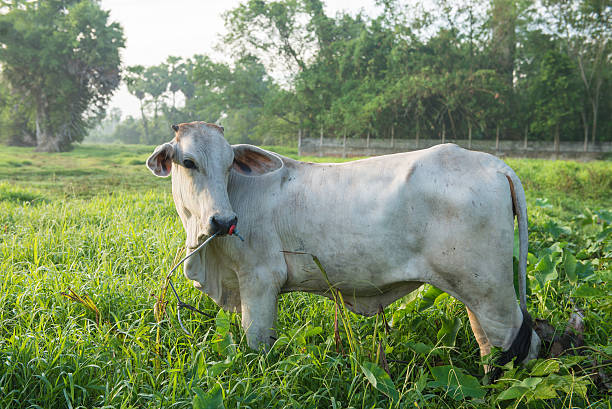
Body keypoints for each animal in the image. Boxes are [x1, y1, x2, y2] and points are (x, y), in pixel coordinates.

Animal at [148, 119, 540, 372]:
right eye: (188, 162)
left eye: (230, 163)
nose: (224, 222)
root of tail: (494, 164)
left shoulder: (260, 281)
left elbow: (256, 343)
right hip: (473, 291)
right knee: (491, 343)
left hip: (489, 289)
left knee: (517, 343)